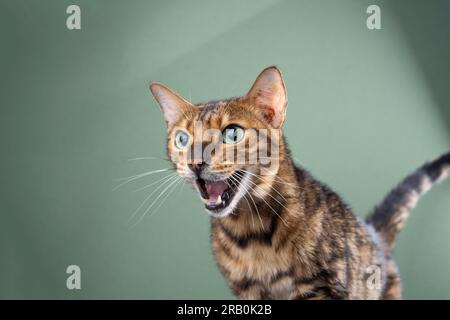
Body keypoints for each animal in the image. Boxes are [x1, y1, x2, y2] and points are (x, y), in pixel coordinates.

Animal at [149, 66, 450, 298]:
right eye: (182, 139)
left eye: (232, 133)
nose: (194, 162)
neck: (251, 234)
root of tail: (374, 234)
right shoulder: (245, 292)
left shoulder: (320, 286)